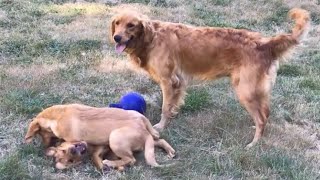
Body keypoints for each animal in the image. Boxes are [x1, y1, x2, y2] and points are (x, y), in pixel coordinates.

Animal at [24, 104, 175, 170]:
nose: (45, 147)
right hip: (139, 121)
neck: (58, 116)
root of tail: (143, 130)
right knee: (158, 138)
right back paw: (170, 150)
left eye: (42, 135)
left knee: (131, 159)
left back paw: (110, 163)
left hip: (115, 138)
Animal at [110, 8, 310, 148]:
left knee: (261, 118)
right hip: (255, 90)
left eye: (131, 25)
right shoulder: (178, 83)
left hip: (245, 91)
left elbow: (165, 108)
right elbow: (173, 105)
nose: (116, 37)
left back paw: (253, 144)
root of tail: (265, 43)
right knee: (265, 113)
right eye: (117, 23)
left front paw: (160, 127)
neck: (151, 38)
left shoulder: (169, 81)